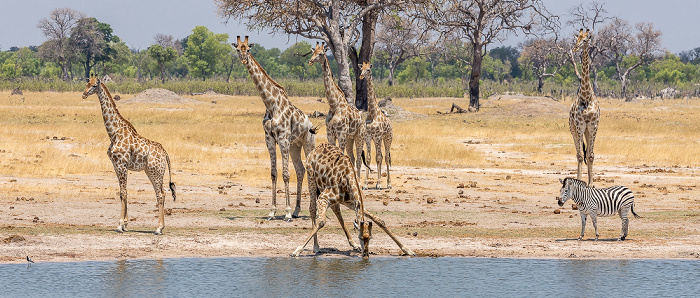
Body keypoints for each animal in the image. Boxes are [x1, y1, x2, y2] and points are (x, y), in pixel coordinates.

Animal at [82, 73, 176, 234]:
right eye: (87, 83)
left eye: (94, 85)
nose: (83, 94)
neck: (114, 132)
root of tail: (165, 154)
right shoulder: (116, 165)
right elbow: (123, 191)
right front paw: (125, 224)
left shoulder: (121, 164)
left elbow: (123, 193)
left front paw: (120, 225)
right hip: (151, 172)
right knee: (162, 193)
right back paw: (160, 227)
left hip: (156, 172)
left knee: (160, 194)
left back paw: (158, 228)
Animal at [234, 35, 316, 221]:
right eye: (237, 49)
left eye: (248, 48)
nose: (243, 59)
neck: (271, 104)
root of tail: (311, 123)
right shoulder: (269, 139)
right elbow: (274, 173)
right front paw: (272, 211)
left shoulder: (283, 138)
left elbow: (285, 174)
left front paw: (286, 212)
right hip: (295, 146)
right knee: (300, 170)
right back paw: (297, 210)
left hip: (308, 143)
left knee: (309, 169)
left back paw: (310, 210)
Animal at [308, 41, 370, 178]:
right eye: (313, 52)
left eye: (321, 53)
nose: (310, 61)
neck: (333, 105)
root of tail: (362, 118)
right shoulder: (330, 134)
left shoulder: (341, 134)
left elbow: (339, 156)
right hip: (349, 138)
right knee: (352, 157)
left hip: (359, 135)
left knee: (358, 159)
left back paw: (359, 179)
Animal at [360, 61, 394, 190]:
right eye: (361, 68)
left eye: (368, 69)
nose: (361, 76)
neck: (372, 113)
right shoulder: (368, 136)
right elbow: (369, 158)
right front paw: (365, 184)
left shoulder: (378, 136)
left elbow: (379, 158)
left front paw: (379, 183)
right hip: (376, 139)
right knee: (382, 156)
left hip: (387, 138)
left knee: (386, 157)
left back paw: (388, 183)